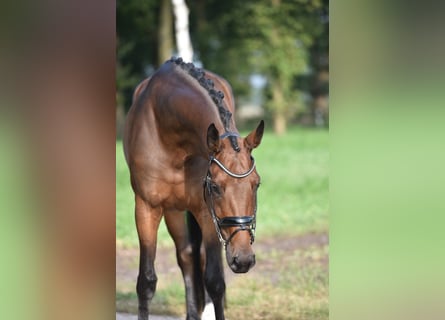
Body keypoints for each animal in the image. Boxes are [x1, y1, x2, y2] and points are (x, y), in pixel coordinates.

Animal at [123, 58, 264, 320]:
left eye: (256, 184)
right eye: (215, 186)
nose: (244, 259)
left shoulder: (205, 211)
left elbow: (215, 281)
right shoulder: (146, 207)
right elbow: (146, 282)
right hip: (173, 210)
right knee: (187, 255)